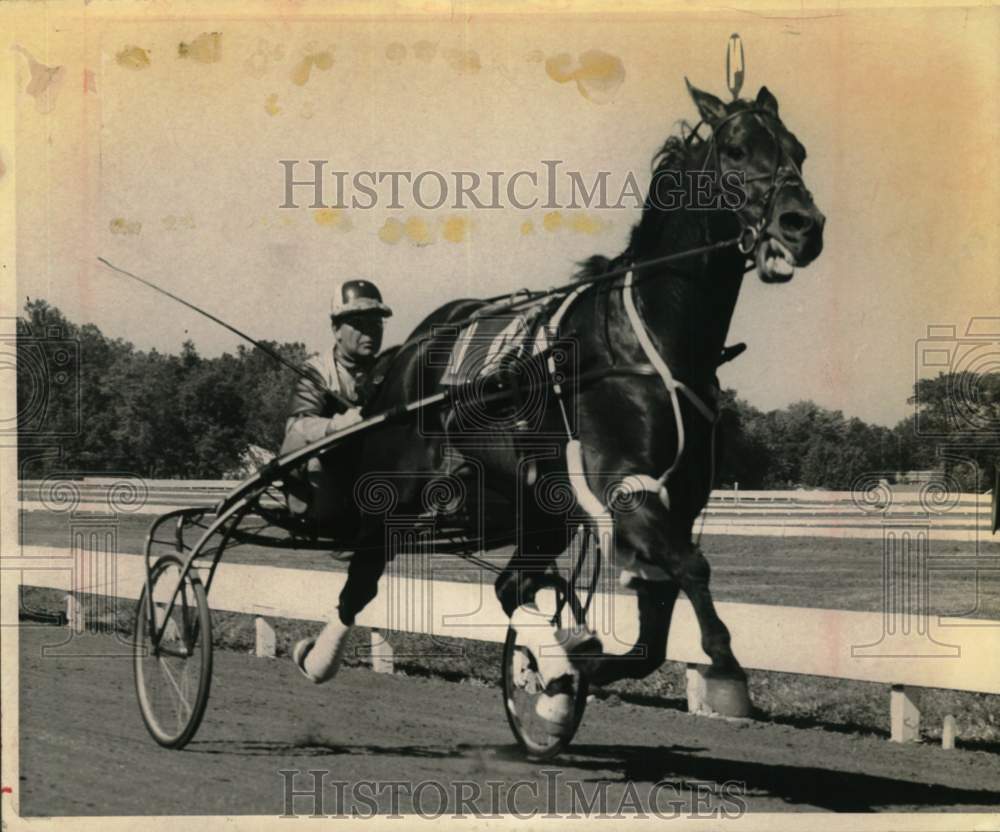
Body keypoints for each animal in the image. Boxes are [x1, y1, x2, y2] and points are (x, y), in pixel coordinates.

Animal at [302, 78, 820, 728]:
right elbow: (691, 569)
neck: (645, 343)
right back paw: (320, 656)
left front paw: (567, 673)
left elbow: (652, 633)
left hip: (535, 507)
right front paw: (723, 666)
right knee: (366, 568)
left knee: (509, 586)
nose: (803, 224)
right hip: (398, 484)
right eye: (735, 149)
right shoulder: (622, 486)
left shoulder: (673, 500)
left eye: (799, 151)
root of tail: (412, 345)